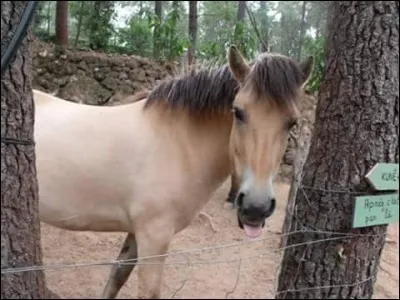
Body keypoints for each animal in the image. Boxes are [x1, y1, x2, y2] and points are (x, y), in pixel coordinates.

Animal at [34, 45, 314, 298]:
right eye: (238, 112)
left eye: (292, 122)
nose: (256, 207)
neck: (178, 142)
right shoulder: (154, 237)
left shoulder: (138, 233)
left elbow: (117, 276)